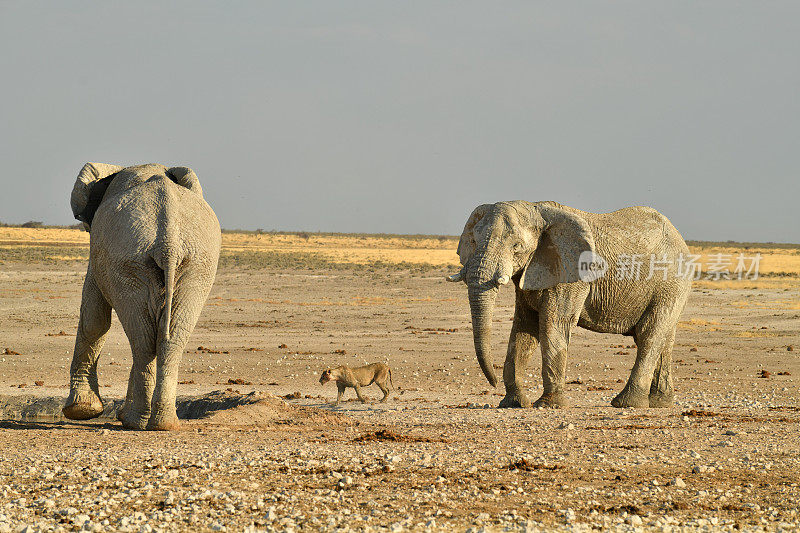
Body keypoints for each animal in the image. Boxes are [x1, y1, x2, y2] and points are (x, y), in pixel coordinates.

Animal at [61, 162, 222, 428]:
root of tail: (169, 244)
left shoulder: (100, 257)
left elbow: (94, 317)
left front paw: (81, 411)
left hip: (135, 260)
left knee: (143, 339)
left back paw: (136, 422)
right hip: (194, 263)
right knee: (168, 338)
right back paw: (161, 424)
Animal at [446, 200, 692, 408]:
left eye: (517, 246)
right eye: (474, 241)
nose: (493, 383)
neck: (536, 209)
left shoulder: (573, 275)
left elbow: (553, 325)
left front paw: (549, 405)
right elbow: (524, 329)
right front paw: (514, 404)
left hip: (671, 284)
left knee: (649, 334)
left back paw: (626, 403)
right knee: (663, 339)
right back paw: (660, 403)